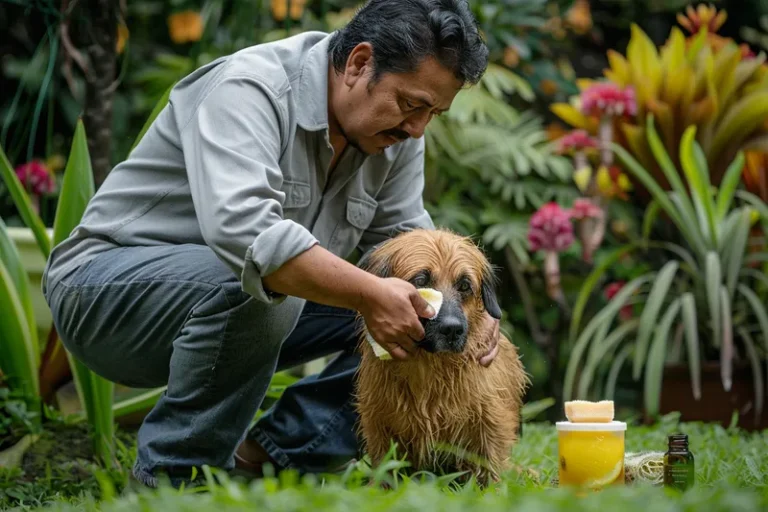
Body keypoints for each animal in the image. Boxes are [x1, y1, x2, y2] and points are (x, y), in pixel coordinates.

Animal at [352, 228, 528, 484]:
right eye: (420, 281)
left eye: (464, 285)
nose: (452, 329)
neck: (431, 366)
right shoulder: (378, 423)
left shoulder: (490, 420)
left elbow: (489, 462)